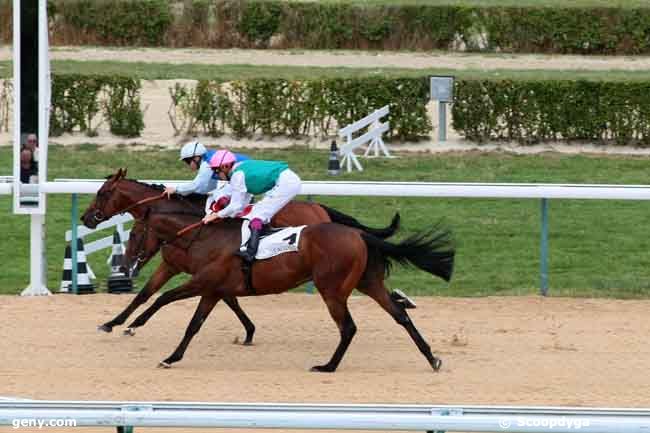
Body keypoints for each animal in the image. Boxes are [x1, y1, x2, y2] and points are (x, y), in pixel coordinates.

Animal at [83, 169, 454, 372]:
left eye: (102, 193)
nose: (87, 219)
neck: (201, 231)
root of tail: (355, 232)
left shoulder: (199, 278)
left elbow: (162, 299)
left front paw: (133, 325)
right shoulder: (205, 282)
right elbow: (185, 314)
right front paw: (119, 325)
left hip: (332, 289)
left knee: (348, 327)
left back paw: (327, 366)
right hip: (367, 282)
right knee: (398, 314)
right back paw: (430, 355)